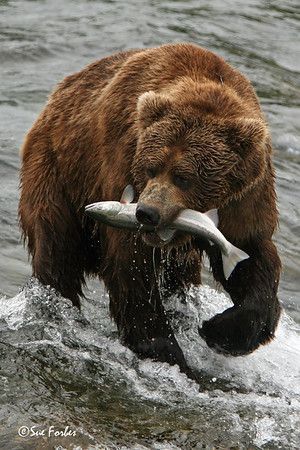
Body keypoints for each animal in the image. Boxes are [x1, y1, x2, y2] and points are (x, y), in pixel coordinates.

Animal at [18, 44, 282, 378]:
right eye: (151, 168)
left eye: (184, 177)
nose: (146, 212)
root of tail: (56, 96)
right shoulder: (121, 159)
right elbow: (131, 268)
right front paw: (164, 349)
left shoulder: (246, 200)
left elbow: (253, 255)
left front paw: (219, 331)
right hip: (58, 171)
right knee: (56, 248)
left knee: (180, 277)